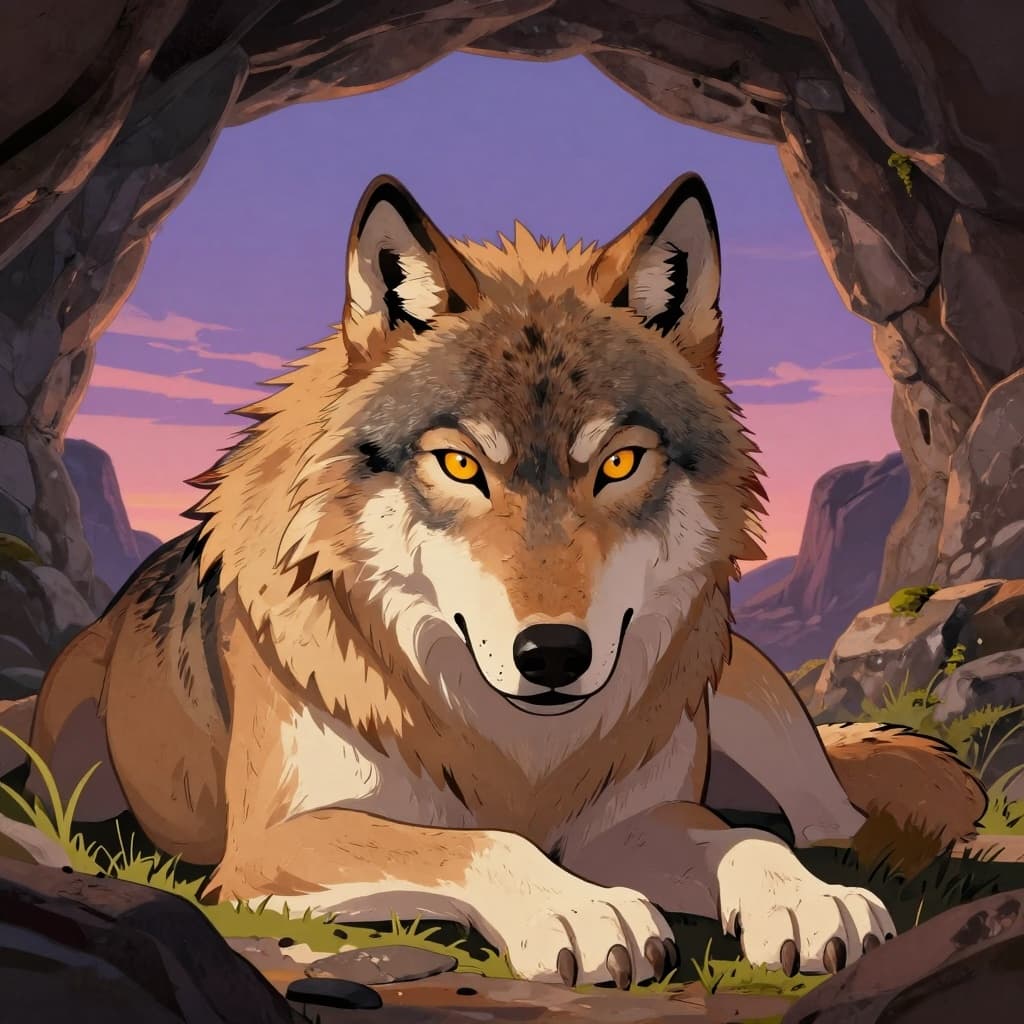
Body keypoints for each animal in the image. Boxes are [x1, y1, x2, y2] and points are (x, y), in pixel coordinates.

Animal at [29, 173, 985, 989]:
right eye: (459, 464)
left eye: (619, 462)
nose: (554, 654)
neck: (519, 751)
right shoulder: (268, 846)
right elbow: (476, 842)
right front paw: (581, 914)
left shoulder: (634, 822)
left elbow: (750, 844)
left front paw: (807, 901)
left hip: (745, 693)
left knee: (827, 821)